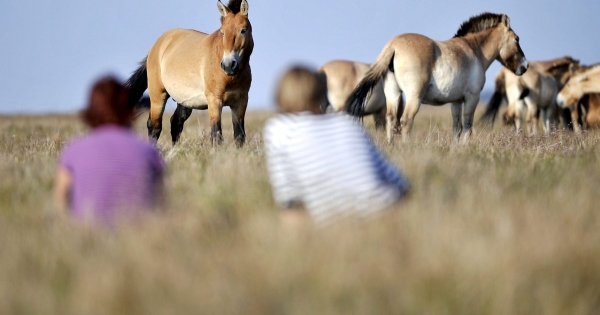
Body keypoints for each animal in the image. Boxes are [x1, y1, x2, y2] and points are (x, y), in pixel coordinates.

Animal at [126, 0, 253, 146]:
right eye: (222, 32)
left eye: (243, 30)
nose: (228, 65)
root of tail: (156, 45)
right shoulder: (214, 101)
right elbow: (216, 136)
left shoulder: (241, 102)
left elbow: (239, 136)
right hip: (158, 95)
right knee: (154, 126)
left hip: (183, 101)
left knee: (176, 123)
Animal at [344, 12, 528, 144]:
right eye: (516, 39)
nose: (525, 66)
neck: (474, 50)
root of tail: (394, 46)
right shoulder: (472, 97)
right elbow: (468, 125)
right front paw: (465, 147)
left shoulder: (456, 101)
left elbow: (457, 126)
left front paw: (456, 148)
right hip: (414, 97)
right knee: (406, 121)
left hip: (393, 93)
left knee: (390, 119)